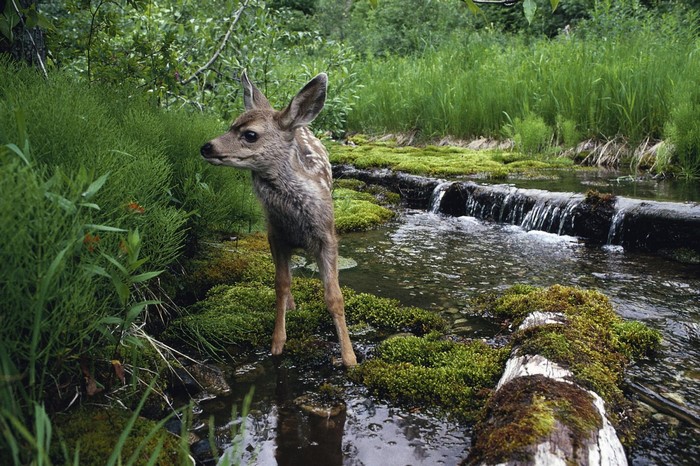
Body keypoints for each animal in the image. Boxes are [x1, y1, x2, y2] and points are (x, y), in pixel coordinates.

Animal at [200, 72, 358, 367]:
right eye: (231, 125)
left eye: (250, 134)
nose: (206, 146)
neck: (295, 218)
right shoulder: (275, 234)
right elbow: (281, 284)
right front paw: (277, 343)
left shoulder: (327, 236)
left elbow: (334, 297)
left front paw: (349, 357)